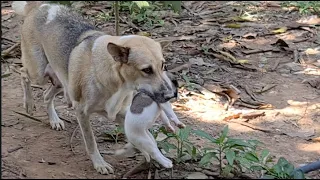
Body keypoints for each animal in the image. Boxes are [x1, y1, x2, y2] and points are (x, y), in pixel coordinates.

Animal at [13, 1, 175, 174]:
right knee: (23, 73)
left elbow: (140, 139)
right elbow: (91, 143)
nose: (170, 96)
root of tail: (41, 6)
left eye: (163, 66)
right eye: (147, 70)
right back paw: (29, 104)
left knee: (46, 95)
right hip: (39, 72)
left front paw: (143, 152)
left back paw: (54, 120)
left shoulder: (119, 113)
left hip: (61, 81)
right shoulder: (82, 112)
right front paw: (100, 164)